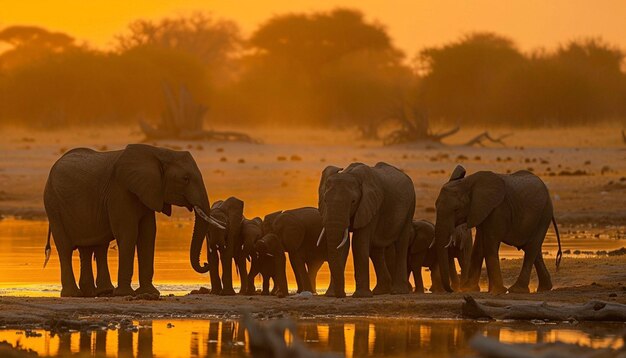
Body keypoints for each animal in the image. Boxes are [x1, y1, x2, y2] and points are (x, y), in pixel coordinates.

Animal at [41, 144, 223, 298]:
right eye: (185, 179)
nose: (205, 263)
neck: (159, 152)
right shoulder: (120, 191)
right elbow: (128, 233)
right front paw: (124, 294)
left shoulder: (148, 192)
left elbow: (148, 234)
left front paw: (150, 293)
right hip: (53, 205)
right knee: (65, 247)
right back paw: (74, 294)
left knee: (94, 247)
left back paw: (98, 292)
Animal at [316, 164, 414, 298]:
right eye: (325, 200)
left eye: (353, 201)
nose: (341, 295)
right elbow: (343, 246)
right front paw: (331, 295)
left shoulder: (370, 206)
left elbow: (359, 242)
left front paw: (361, 295)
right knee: (376, 250)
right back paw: (380, 291)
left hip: (410, 207)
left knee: (401, 244)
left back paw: (398, 291)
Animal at [434, 165, 560, 294]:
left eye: (456, 209)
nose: (452, 290)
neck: (468, 182)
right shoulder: (480, 210)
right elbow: (479, 246)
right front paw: (469, 289)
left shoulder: (498, 209)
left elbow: (490, 243)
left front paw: (498, 290)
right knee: (535, 250)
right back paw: (544, 288)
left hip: (544, 215)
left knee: (531, 249)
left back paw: (517, 289)